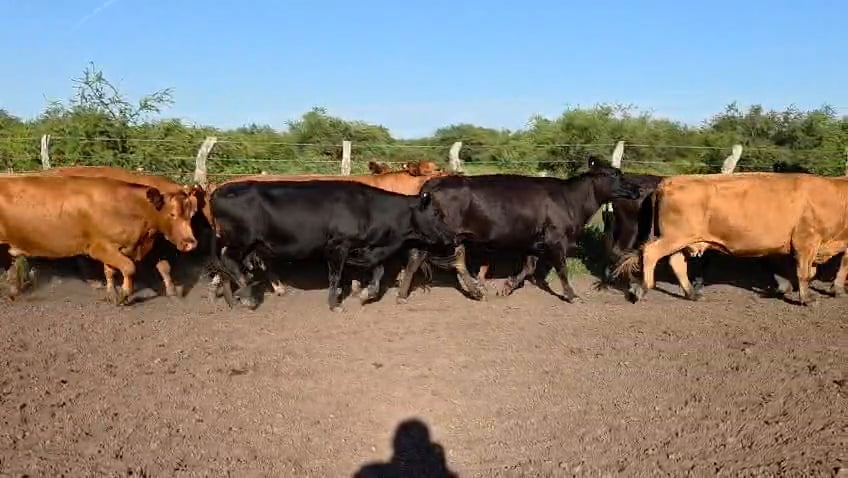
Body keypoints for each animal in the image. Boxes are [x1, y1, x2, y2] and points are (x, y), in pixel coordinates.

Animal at [0, 175, 198, 304]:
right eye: (172, 214)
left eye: (191, 214)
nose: (190, 242)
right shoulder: (99, 248)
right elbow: (129, 267)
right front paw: (123, 294)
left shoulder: (112, 249)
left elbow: (110, 271)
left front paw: (112, 293)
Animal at [203, 168, 454, 299]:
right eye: (436, 212)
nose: (451, 236)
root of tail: (220, 188)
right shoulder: (342, 244)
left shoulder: (362, 247)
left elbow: (372, 269)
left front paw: (360, 290)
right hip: (239, 240)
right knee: (228, 261)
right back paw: (243, 292)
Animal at [395, 160, 642, 303]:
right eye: (614, 175)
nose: (637, 188)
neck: (570, 199)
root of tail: (433, 183)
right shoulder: (556, 238)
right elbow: (561, 268)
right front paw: (572, 295)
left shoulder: (534, 241)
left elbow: (529, 267)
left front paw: (507, 287)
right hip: (439, 235)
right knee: (424, 258)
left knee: (453, 261)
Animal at [614, 172, 848, 306]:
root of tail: (668, 182)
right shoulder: (806, 240)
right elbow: (804, 273)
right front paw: (807, 298)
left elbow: (839, 266)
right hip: (675, 236)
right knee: (651, 253)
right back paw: (643, 288)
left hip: (681, 239)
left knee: (676, 261)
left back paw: (692, 293)